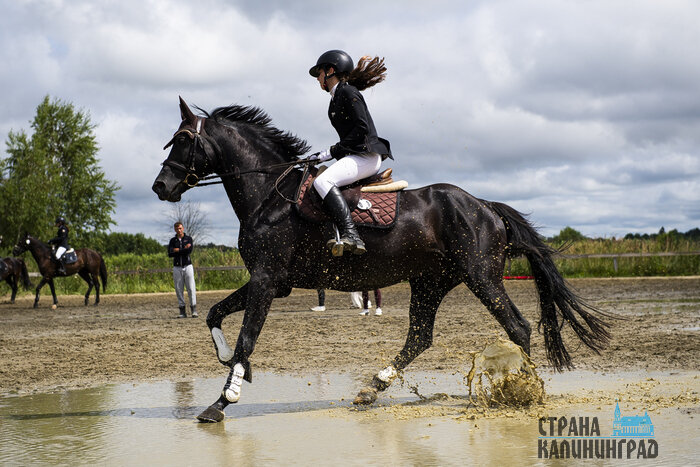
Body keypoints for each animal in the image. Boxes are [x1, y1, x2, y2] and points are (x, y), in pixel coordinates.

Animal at [152, 97, 611, 423]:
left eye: (183, 139)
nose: (160, 186)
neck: (268, 194)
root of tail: (484, 205)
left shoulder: (267, 280)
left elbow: (248, 336)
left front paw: (223, 400)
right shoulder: (272, 281)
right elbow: (214, 313)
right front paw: (230, 362)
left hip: (481, 277)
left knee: (516, 326)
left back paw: (520, 391)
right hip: (429, 282)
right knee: (420, 337)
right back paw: (372, 387)